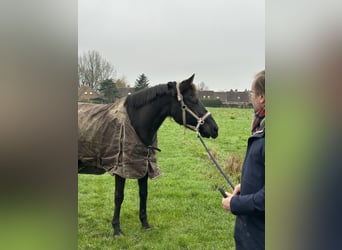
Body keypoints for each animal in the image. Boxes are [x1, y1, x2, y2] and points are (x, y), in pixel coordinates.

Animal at [77, 74, 218, 236]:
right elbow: (119, 196)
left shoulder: (144, 165)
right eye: (192, 100)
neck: (135, 121)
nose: (215, 129)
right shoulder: (121, 168)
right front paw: (117, 229)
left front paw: (145, 224)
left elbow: (143, 193)